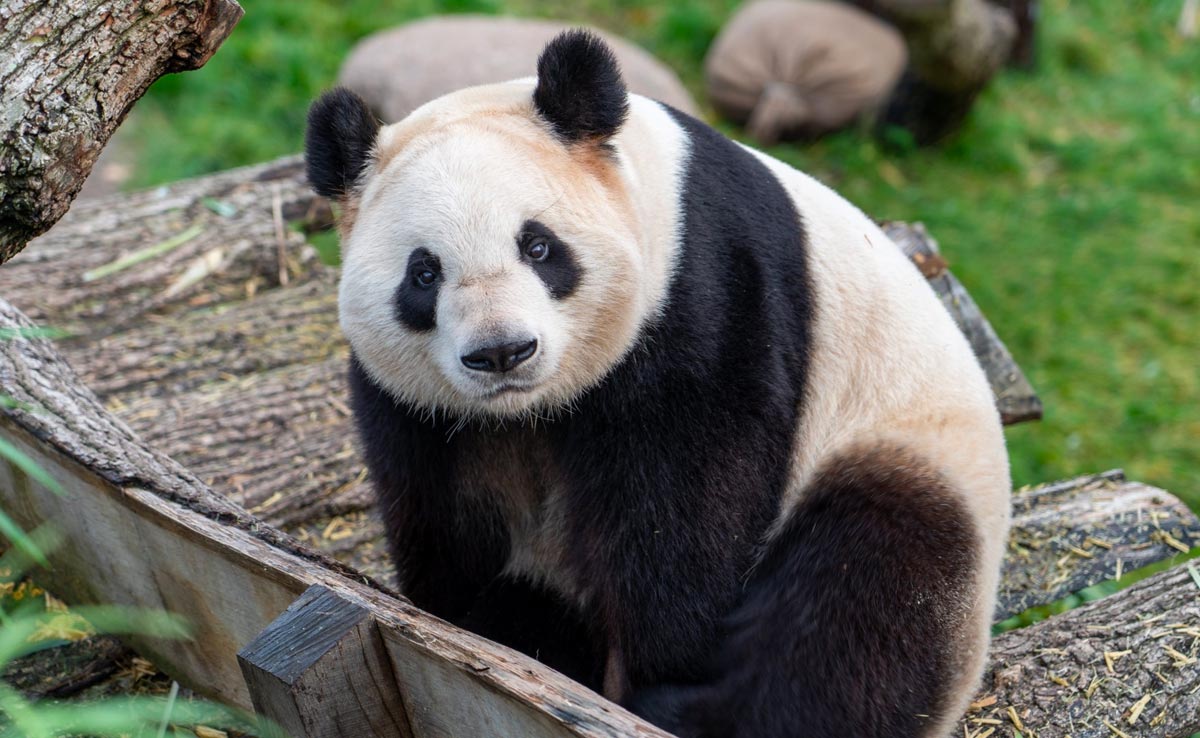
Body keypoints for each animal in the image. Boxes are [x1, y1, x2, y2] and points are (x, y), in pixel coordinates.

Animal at [306, 30, 1010, 738]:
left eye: (538, 246)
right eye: (424, 273)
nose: (503, 352)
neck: (533, 409)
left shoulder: (704, 293)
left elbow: (684, 506)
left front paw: (651, 670)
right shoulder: (417, 407)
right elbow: (441, 508)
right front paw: (472, 619)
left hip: (906, 449)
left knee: (863, 592)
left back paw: (699, 709)